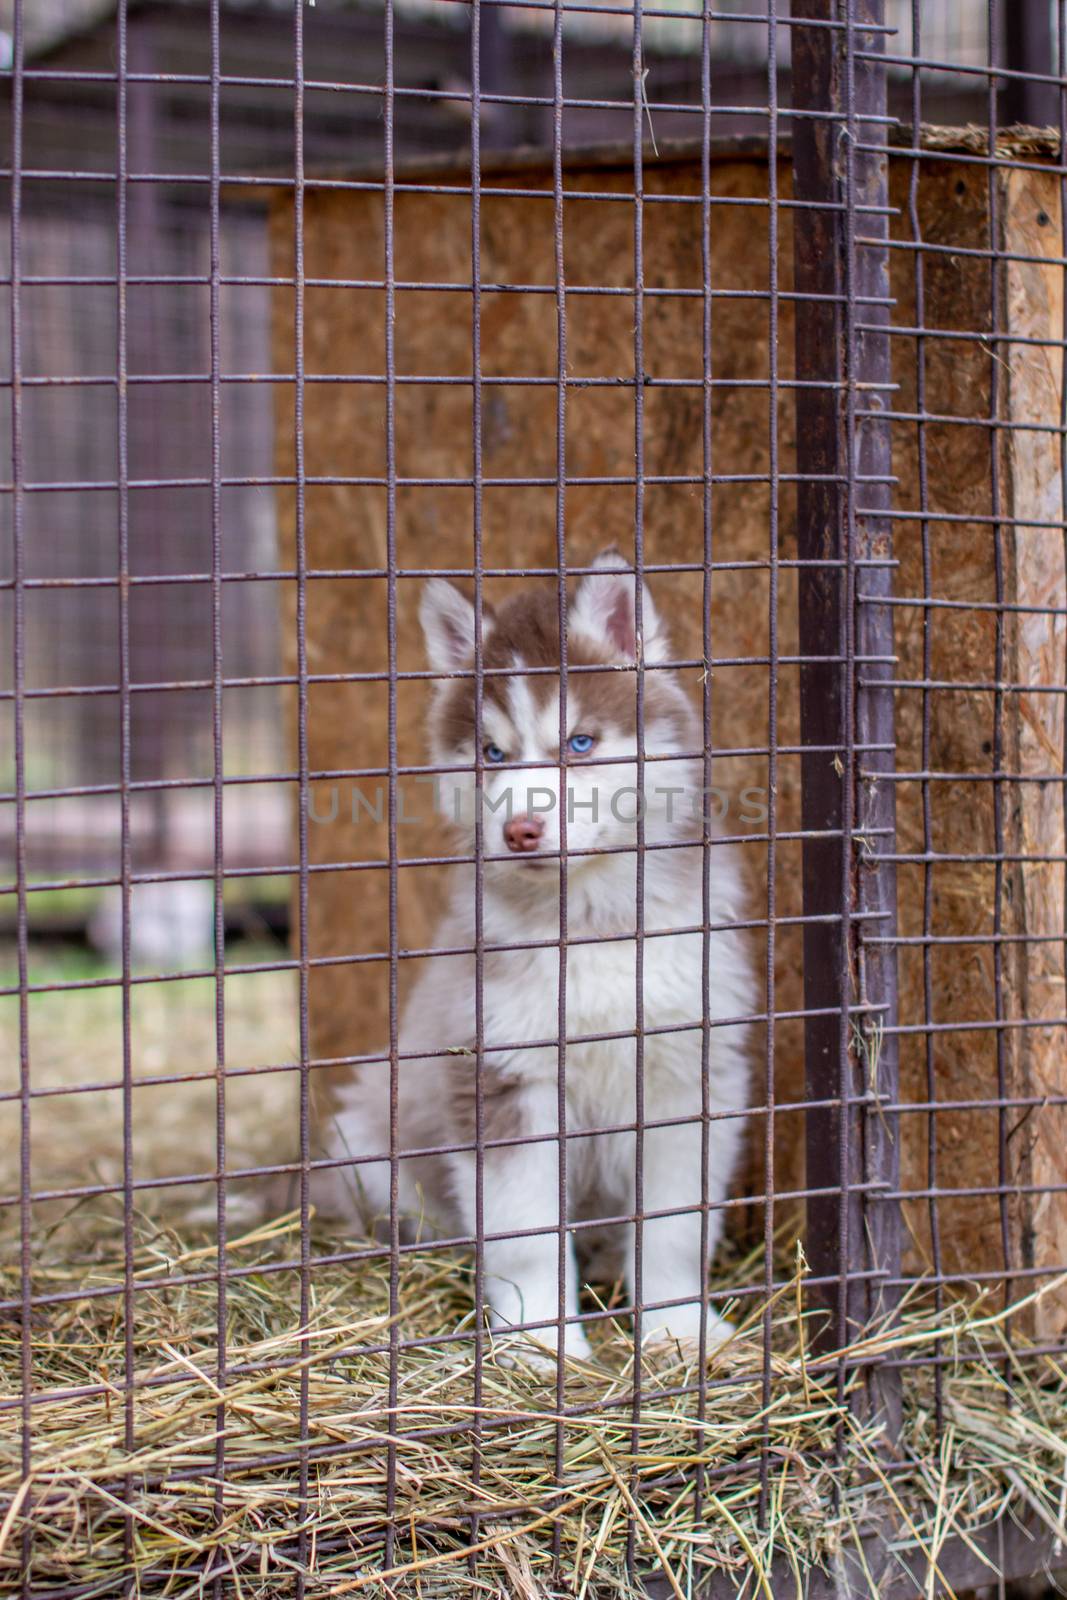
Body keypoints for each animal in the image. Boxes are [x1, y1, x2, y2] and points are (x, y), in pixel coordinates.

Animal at [321, 550, 755, 1363]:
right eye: (492, 755)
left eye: (578, 743)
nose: (519, 829)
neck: (588, 924)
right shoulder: (501, 1077)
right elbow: (523, 1232)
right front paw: (540, 1347)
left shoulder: (686, 1072)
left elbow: (676, 1225)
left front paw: (678, 1329)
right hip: (364, 1134)